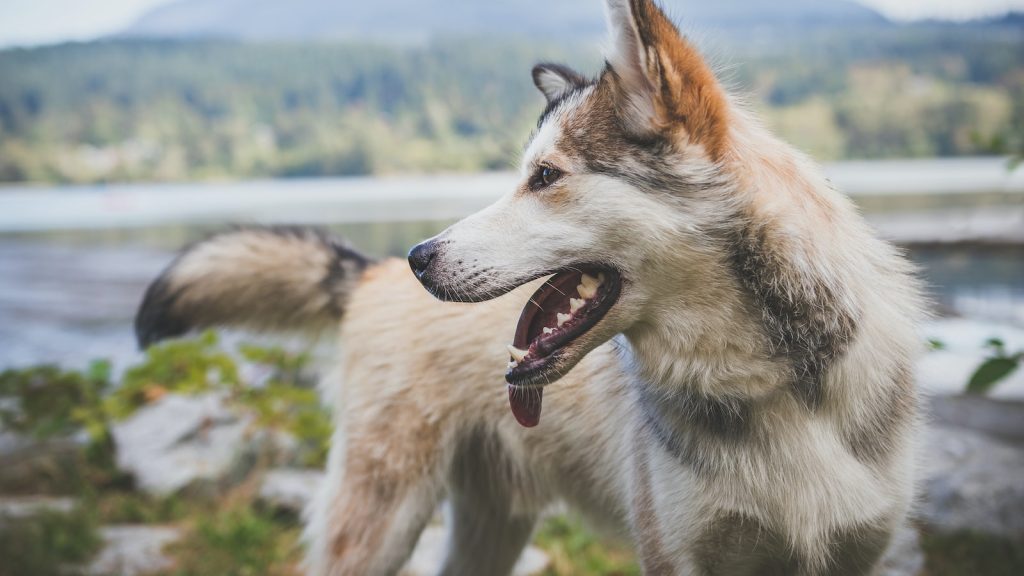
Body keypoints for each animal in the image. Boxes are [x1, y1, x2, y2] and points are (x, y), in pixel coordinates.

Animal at [136, 2, 929, 569]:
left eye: (544, 177)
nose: (422, 257)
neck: (778, 387)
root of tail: (371, 271)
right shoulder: (678, 555)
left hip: (488, 529)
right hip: (380, 520)